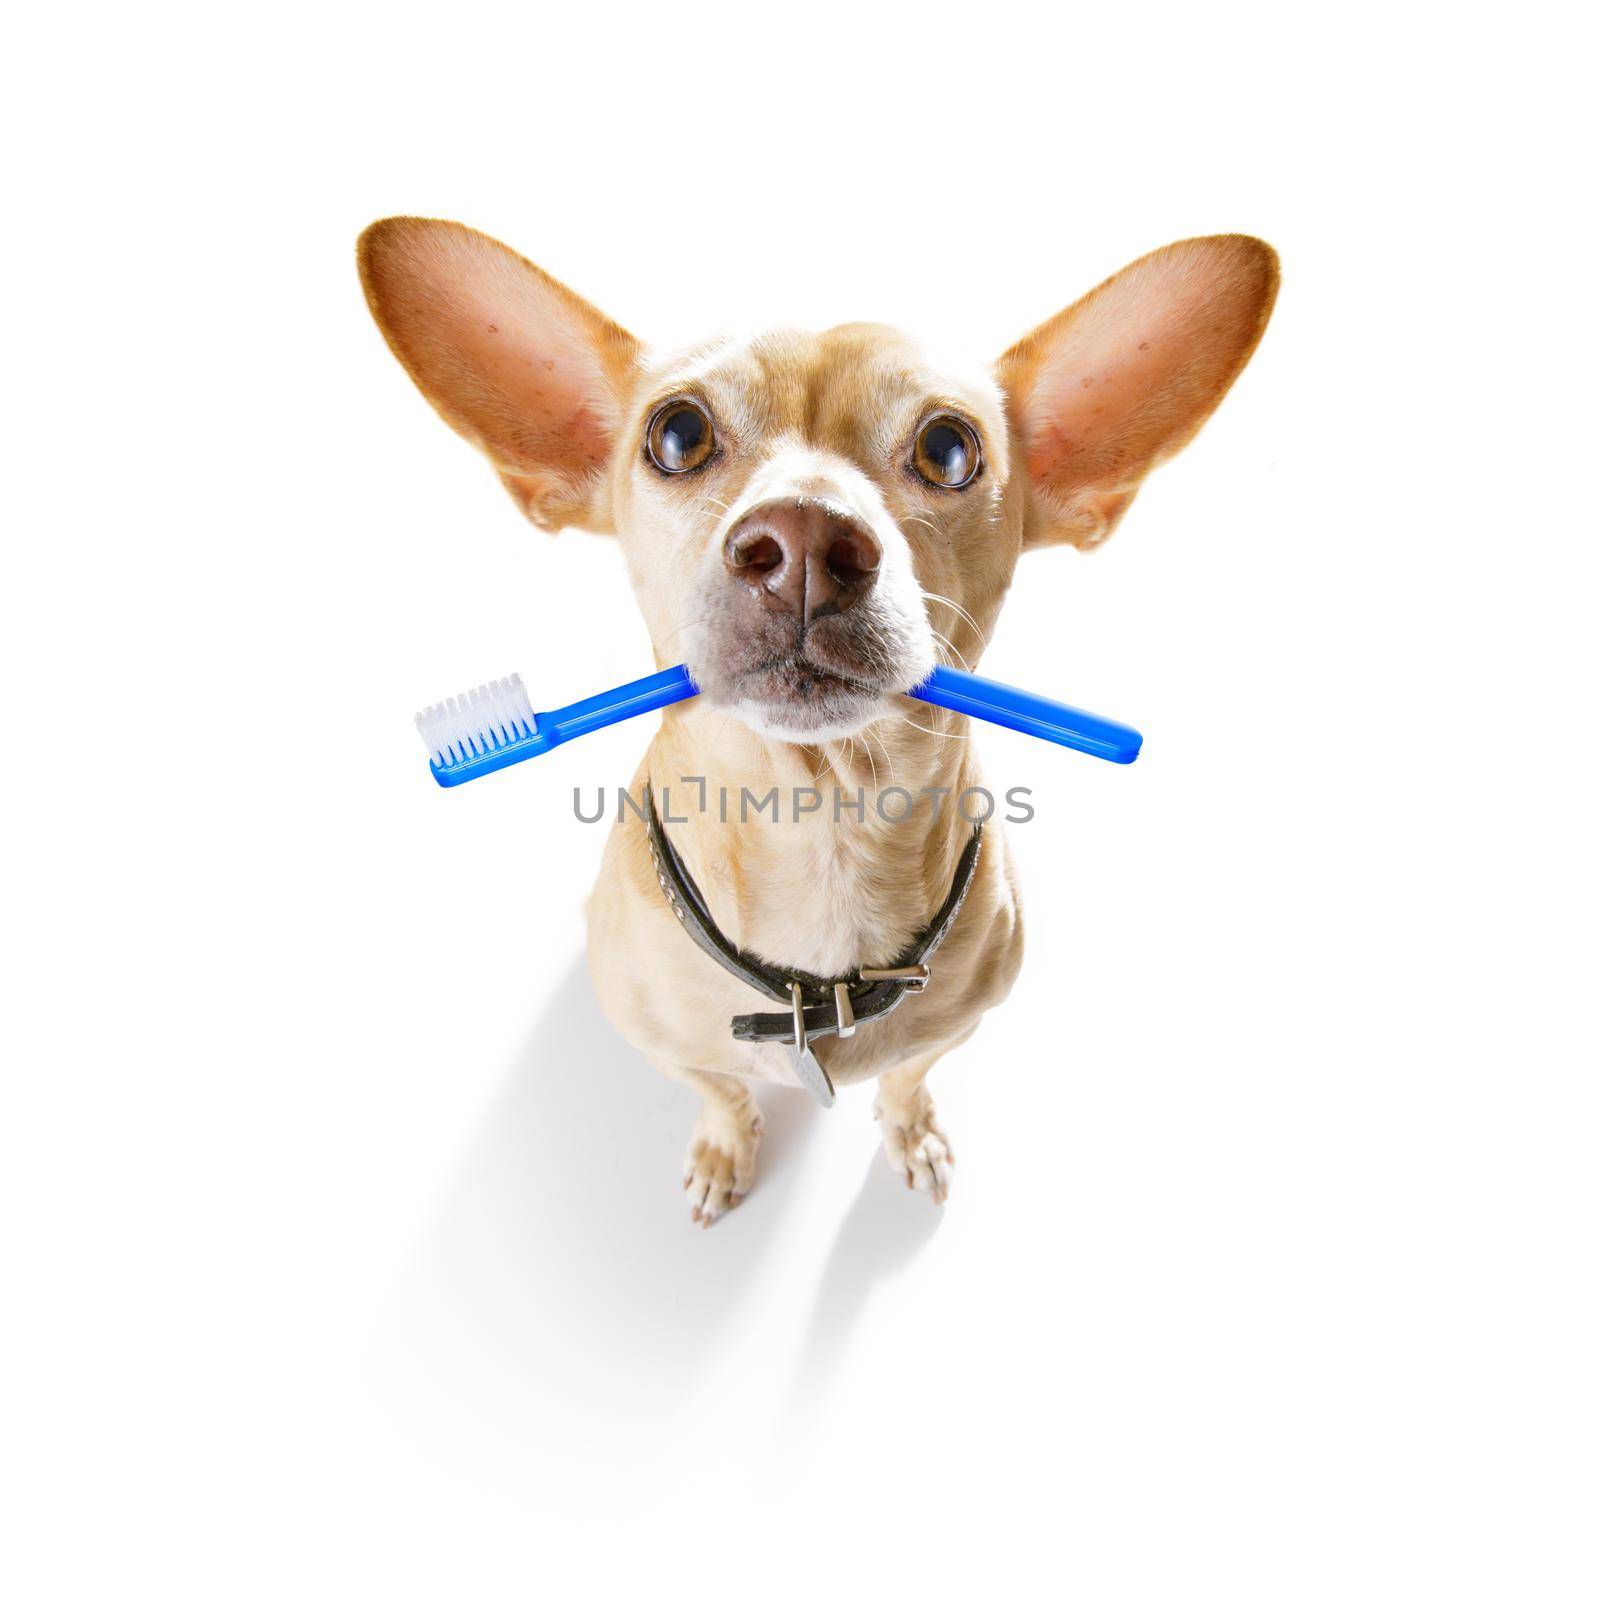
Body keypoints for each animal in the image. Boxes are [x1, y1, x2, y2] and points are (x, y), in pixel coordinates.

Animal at [360, 219, 1273, 1222]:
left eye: (950, 449)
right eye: (677, 434)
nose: (802, 539)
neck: (822, 832)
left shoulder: (952, 1031)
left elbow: (908, 1078)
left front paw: (911, 1134)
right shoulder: (669, 1049)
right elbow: (722, 1089)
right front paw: (725, 1150)